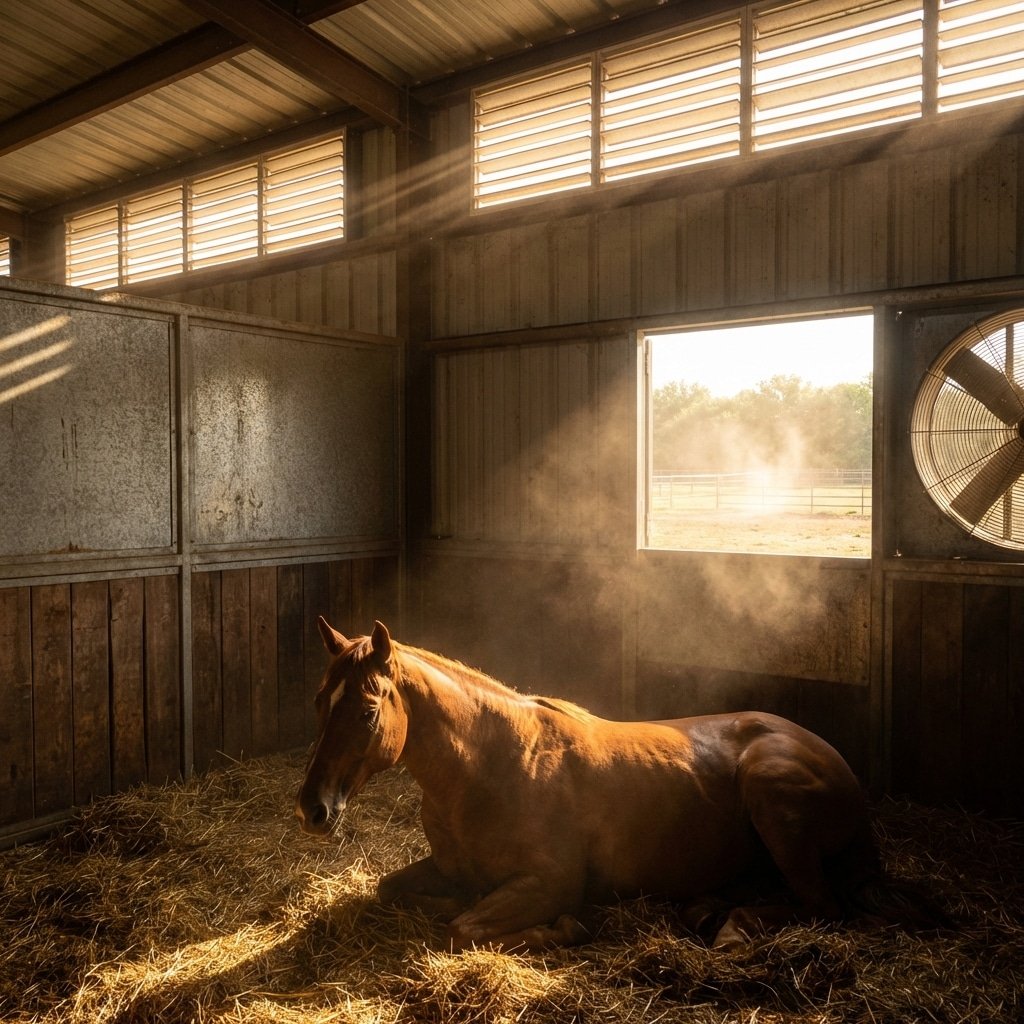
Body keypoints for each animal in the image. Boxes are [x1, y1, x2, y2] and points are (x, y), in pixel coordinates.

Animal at [295, 618, 879, 951]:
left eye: (368, 711)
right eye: (319, 701)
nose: (312, 809)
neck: (492, 769)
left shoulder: (549, 883)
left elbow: (463, 929)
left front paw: (565, 929)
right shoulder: (447, 867)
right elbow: (393, 891)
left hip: (772, 798)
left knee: (823, 907)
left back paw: (731, 927)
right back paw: (708, 910)